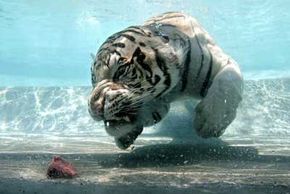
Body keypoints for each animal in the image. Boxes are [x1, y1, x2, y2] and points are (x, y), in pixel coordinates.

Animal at [88, 12, 242, 149]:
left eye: (121, 71)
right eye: (94, 80)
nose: (96, 108)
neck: (176, 90)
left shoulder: (223, 61)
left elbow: (227, 81)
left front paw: (210, 123)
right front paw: (125, 136)